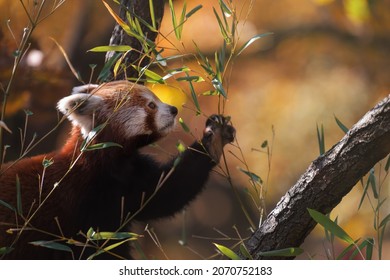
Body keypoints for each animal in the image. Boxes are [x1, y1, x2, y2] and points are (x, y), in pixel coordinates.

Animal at [0, 80, 235, 260]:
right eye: (151, 105)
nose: (174, 109)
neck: (108, 165)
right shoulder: (82, 204)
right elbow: (98, 249)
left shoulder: (132, 180)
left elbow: (169, 192)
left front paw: (214, 138)